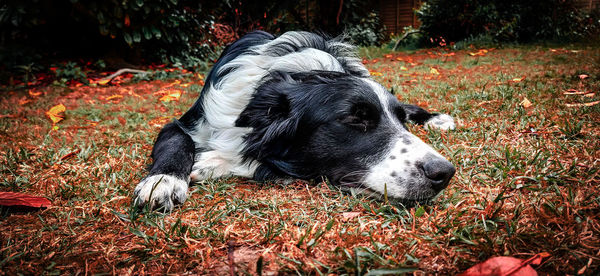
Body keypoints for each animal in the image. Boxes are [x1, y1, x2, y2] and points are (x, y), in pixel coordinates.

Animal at [135, 30, 454, 211]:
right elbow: (177, 142)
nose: (445, 173)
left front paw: (213, 162)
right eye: (355, 119)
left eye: (400, 123)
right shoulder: (183, 122)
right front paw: (163, 180)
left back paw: (437, 119)